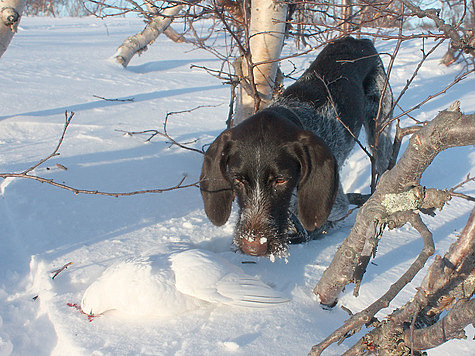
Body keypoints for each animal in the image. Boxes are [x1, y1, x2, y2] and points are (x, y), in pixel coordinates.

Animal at [199, 37, 392, 258]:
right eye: (238, 179)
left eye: (281, 180)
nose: (252, 247)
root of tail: (360, 40)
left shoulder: (335, 202)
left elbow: (321, 216)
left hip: (380, 124)